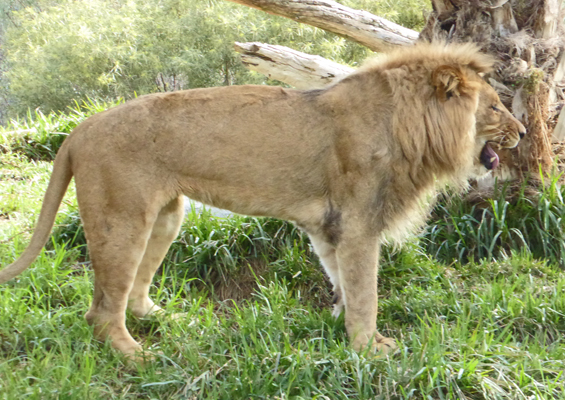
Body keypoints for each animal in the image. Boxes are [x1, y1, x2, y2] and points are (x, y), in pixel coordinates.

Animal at [0, 43, 524, 360]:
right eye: (496, 107)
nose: (521, 132)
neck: (409, 127)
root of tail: (78, 130)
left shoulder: (330, 226)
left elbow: (342, 283)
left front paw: (341, 329)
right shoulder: (359, 223)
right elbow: (366, 293)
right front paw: (369, 349)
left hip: (166, 215)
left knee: (135, 289)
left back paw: (165, 319)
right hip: (122, 216)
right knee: (102, 309)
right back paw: (136, 354)